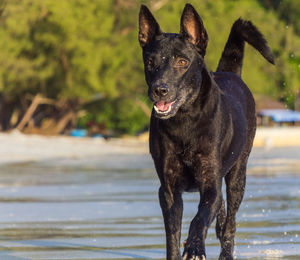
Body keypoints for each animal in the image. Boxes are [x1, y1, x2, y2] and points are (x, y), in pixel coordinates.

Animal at [138, 4, 274, 260]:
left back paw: (226, 251)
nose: (159, 89)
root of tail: (230, 73)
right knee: (222, 214)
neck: (184, 122)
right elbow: (172, 233)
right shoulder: (168, 190)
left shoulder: (210, 183)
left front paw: (194, 247)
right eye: (150, 62)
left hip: (238, 173)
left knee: (230, 221)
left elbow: (199, 218)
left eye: (182, 61)